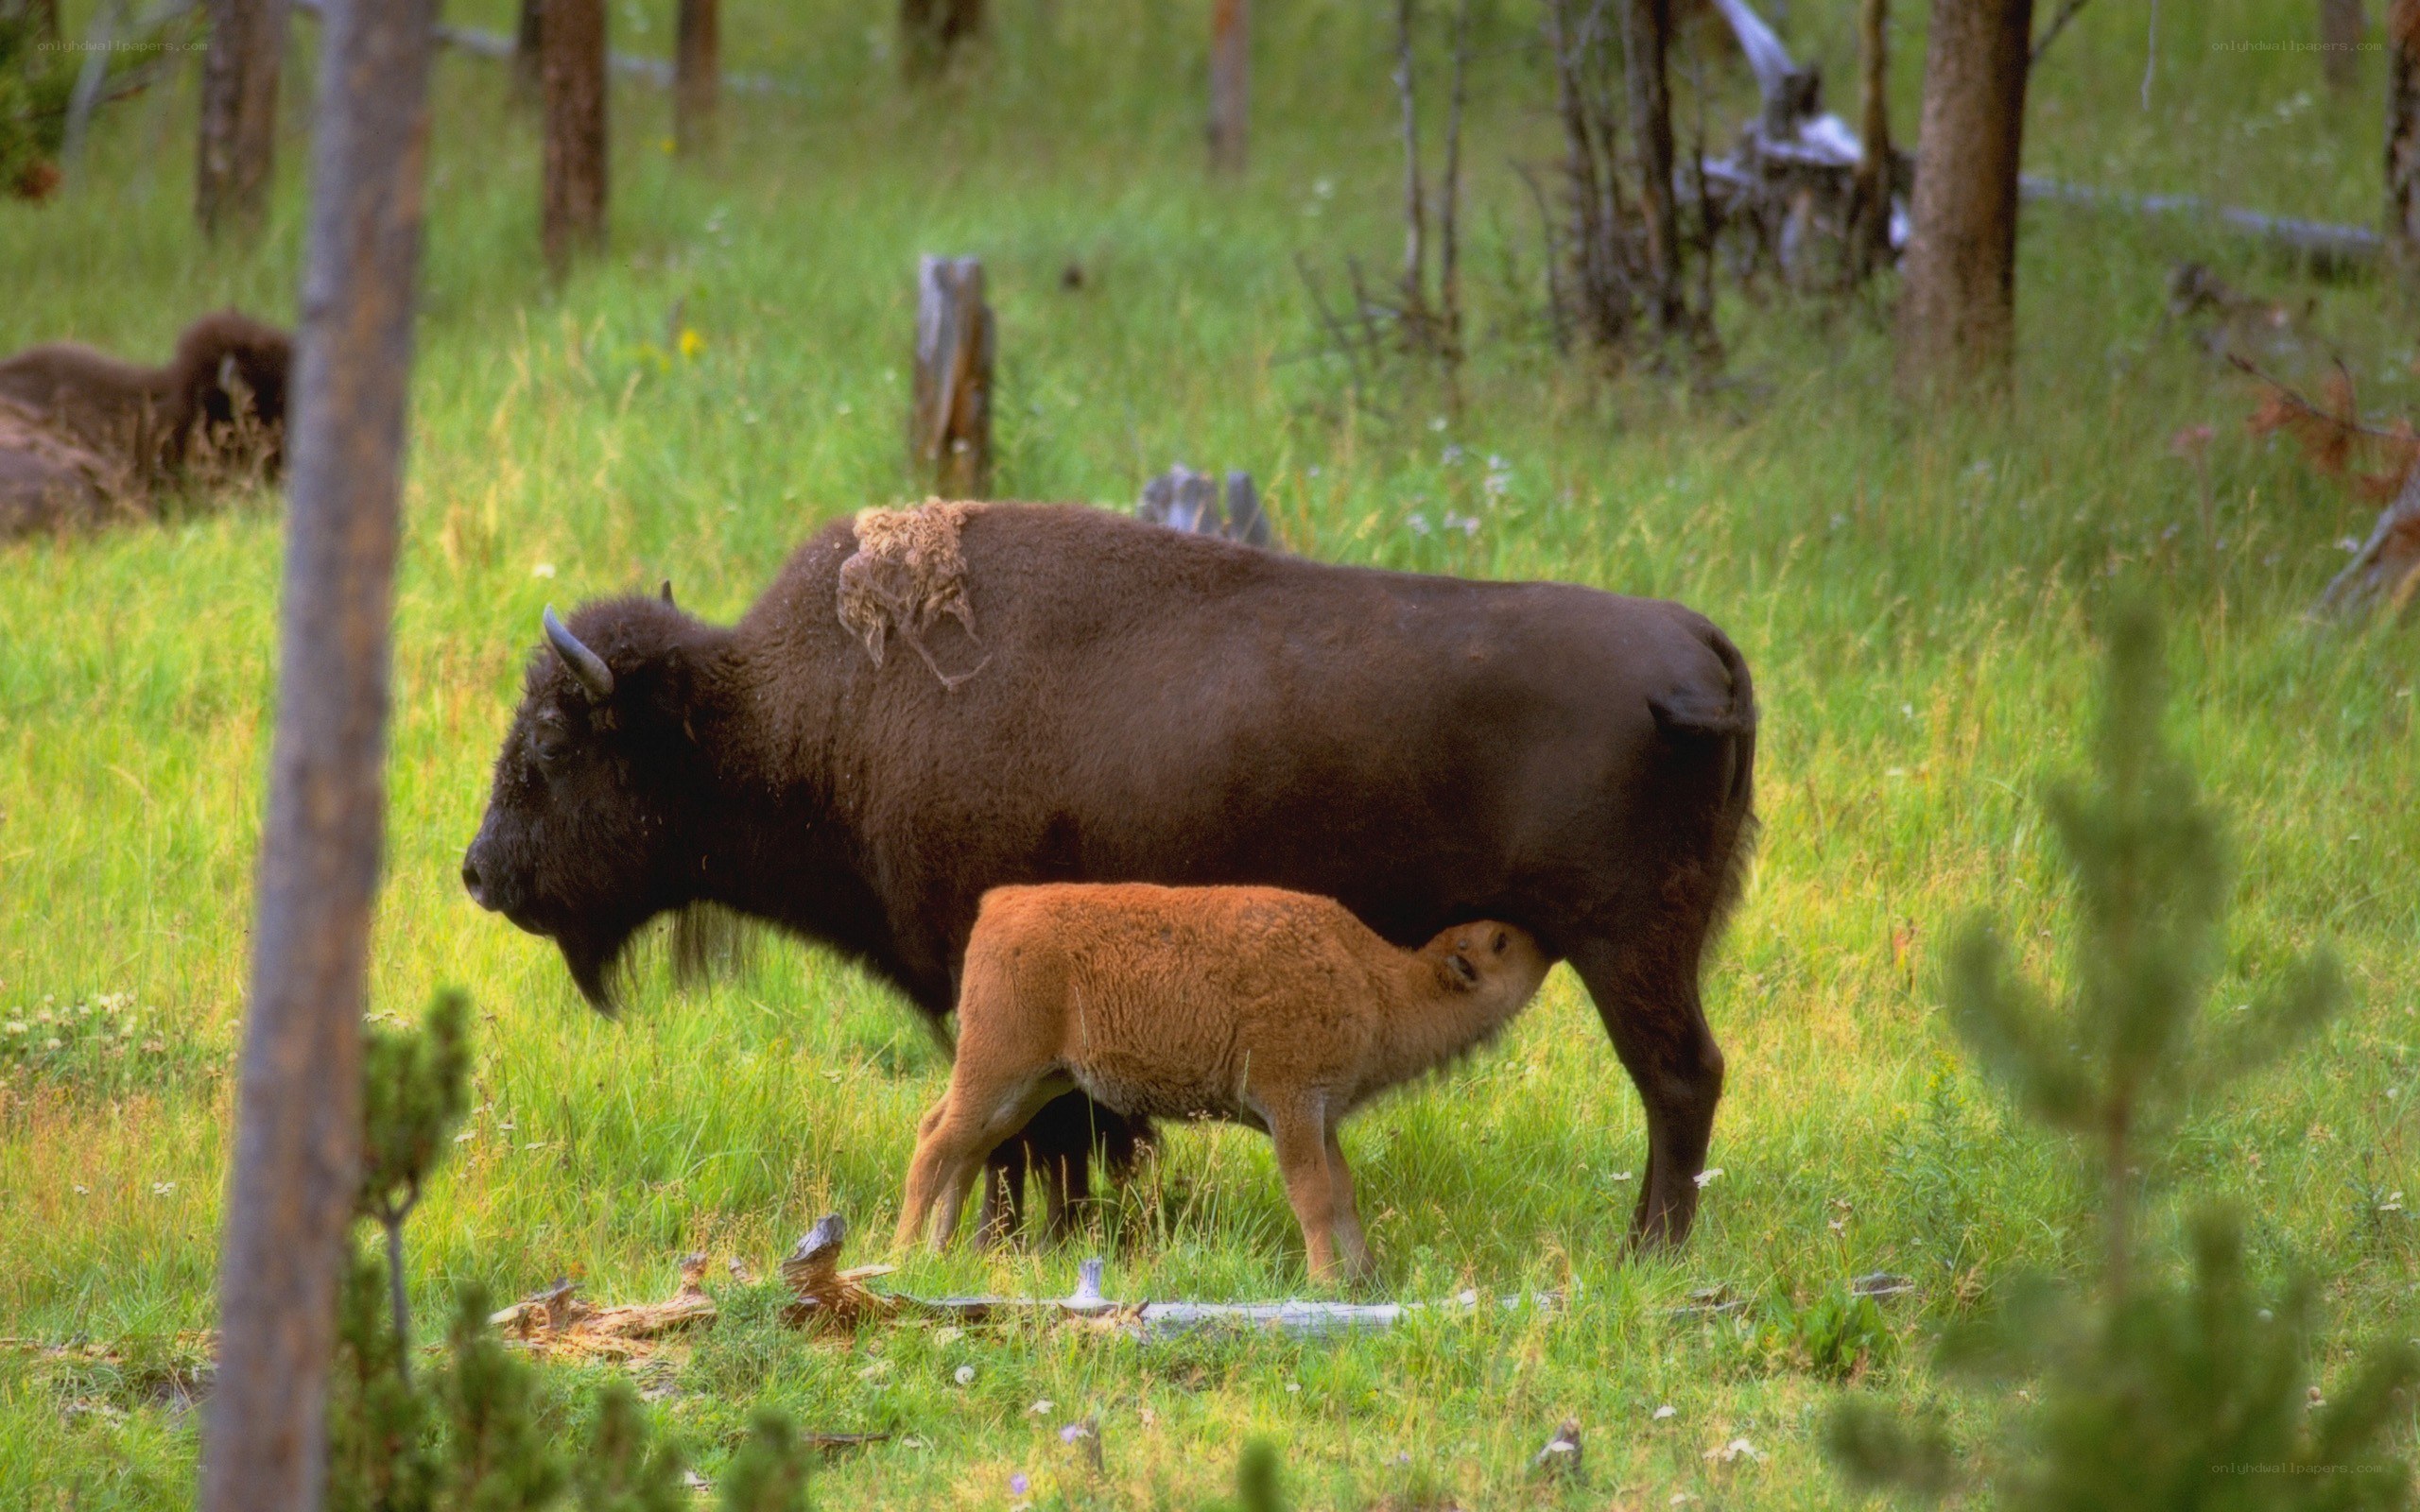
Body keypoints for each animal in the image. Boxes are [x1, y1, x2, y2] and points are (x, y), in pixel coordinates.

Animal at [461, 502, 1757, 1249]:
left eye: (550, 752)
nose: (479, 874)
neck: (786, 717)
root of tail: (1698, 649)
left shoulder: (977, 985)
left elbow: (1027, 1133)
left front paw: (1012, 1242)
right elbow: (1059, 1132)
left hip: (1626, 949)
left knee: (1678, 1080)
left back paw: (1647, 1249)